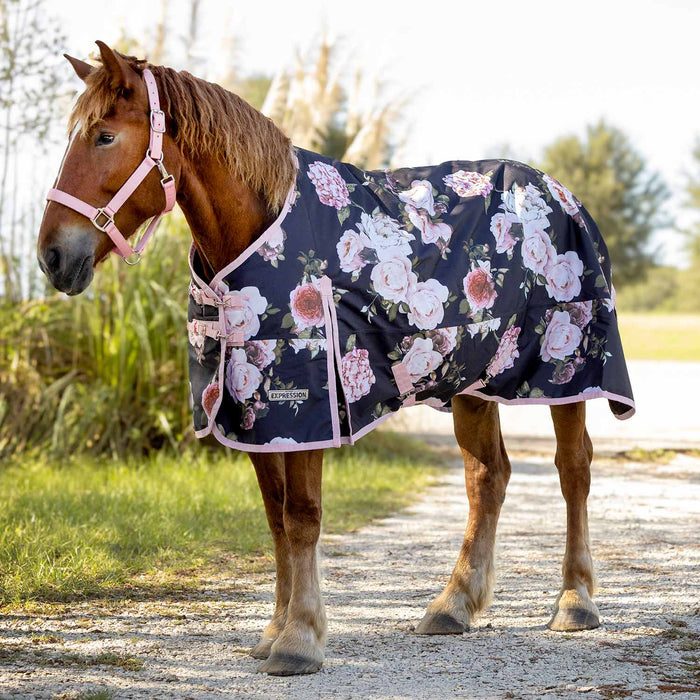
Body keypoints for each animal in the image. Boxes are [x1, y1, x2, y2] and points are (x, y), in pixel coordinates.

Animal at [38, 42, 634, 676]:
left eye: (104, 136)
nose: (52, 256)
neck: (260, 228)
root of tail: (562, 195)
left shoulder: (302, 407)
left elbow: (302, 518)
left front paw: (299, 638)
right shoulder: (255, 409)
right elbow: (275, 518)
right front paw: (274, 630)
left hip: (570, 371)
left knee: (573, 470)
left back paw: (574, 601)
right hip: (471, 381)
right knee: (487, 478)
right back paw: (452, 605)